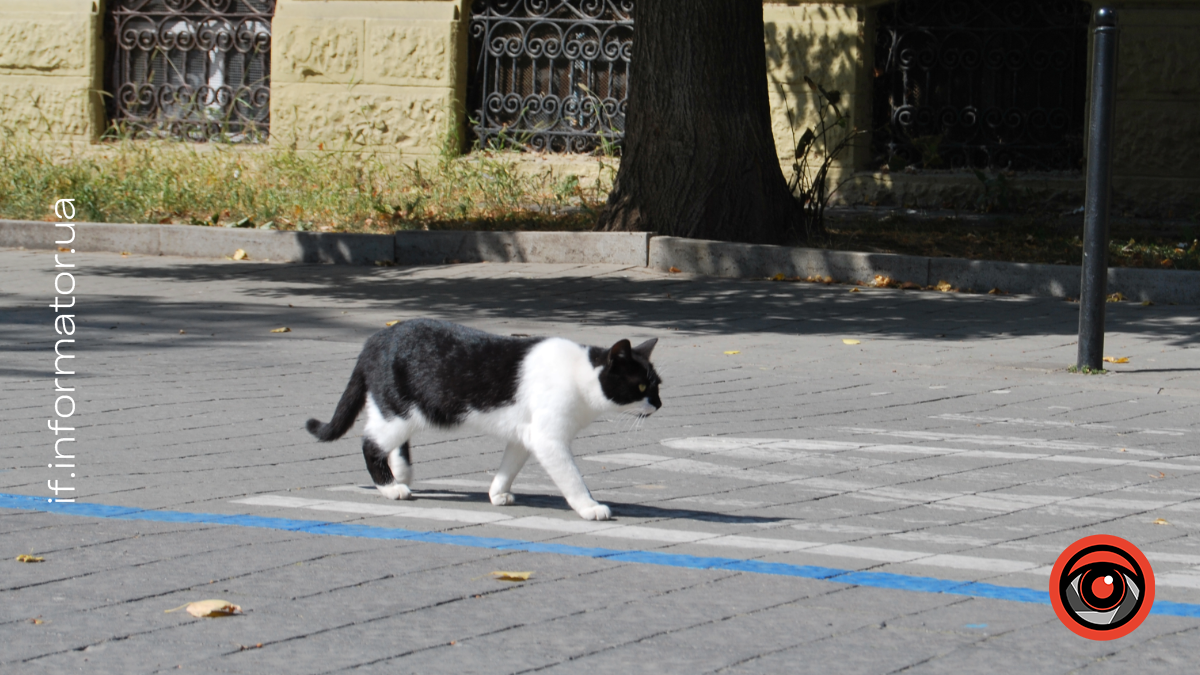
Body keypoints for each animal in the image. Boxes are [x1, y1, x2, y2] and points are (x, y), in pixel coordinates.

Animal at [304, 317, 662, 516]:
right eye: (642, 385)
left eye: (657, 384)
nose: (658, 404)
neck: (579, 374)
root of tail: (378, 337)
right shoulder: (548, 440)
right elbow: (573, 479)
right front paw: (590, 508)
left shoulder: (525, 436)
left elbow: (508, 467)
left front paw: (497, 493)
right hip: (400, 413)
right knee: (370, 444)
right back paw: (391, 488)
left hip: (402, 413)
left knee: (391, 443)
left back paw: (401, 475)